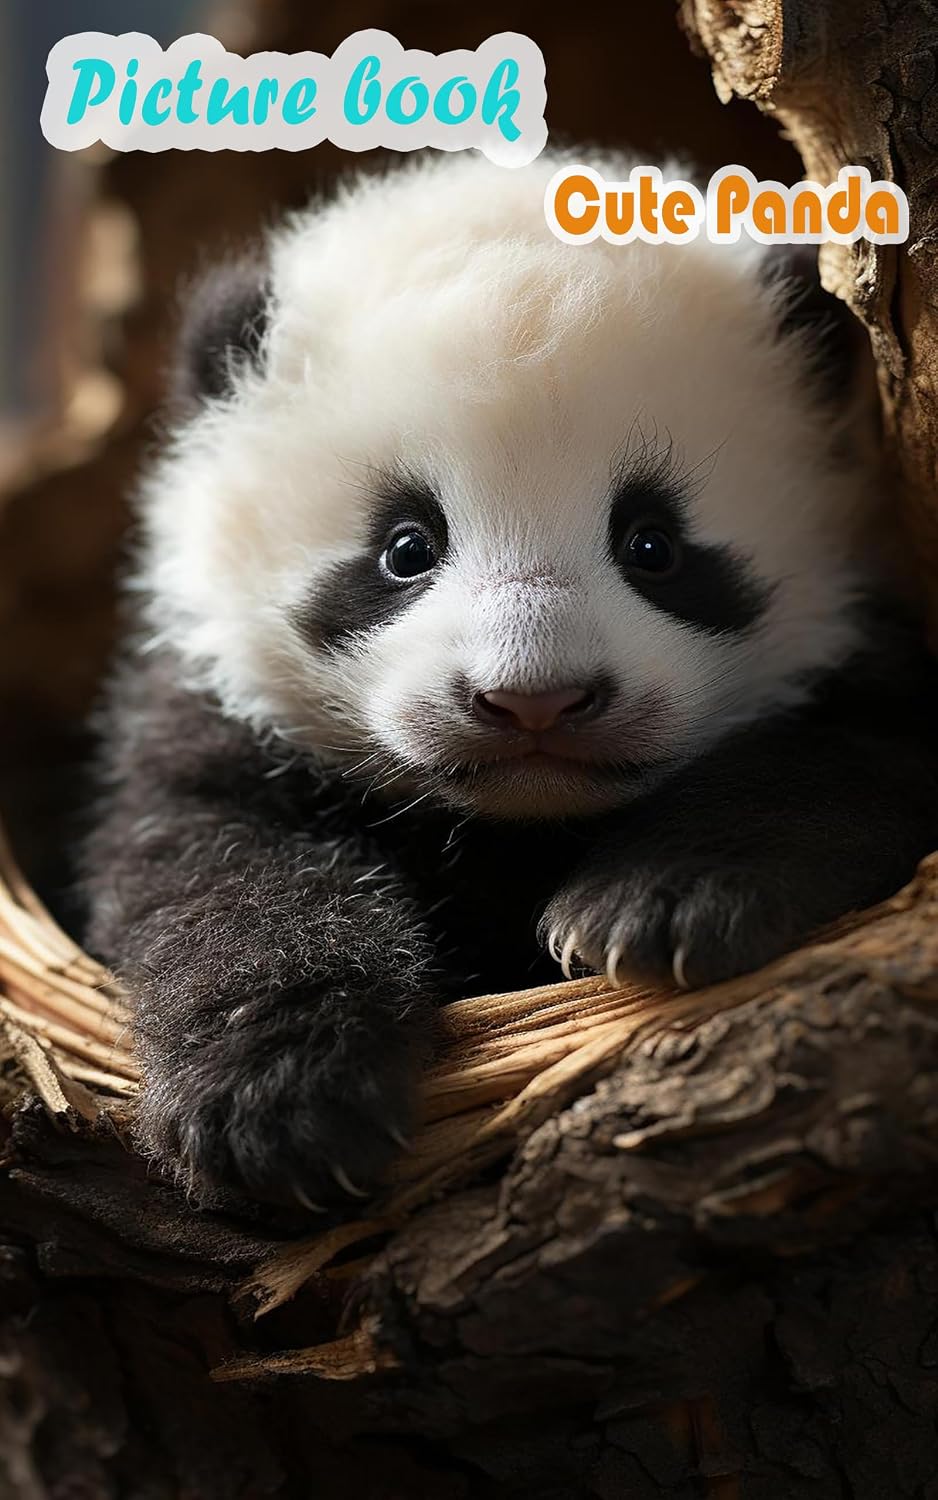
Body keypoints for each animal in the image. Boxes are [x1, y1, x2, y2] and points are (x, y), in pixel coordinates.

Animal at [82, 149, 938, 1211]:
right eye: (406, 547)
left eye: (652, 544)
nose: (536, 700)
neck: (517, 824)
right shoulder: (216, 706)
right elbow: (213, 865)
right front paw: (278, 1104)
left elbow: (850, 759)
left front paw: (657, 902)